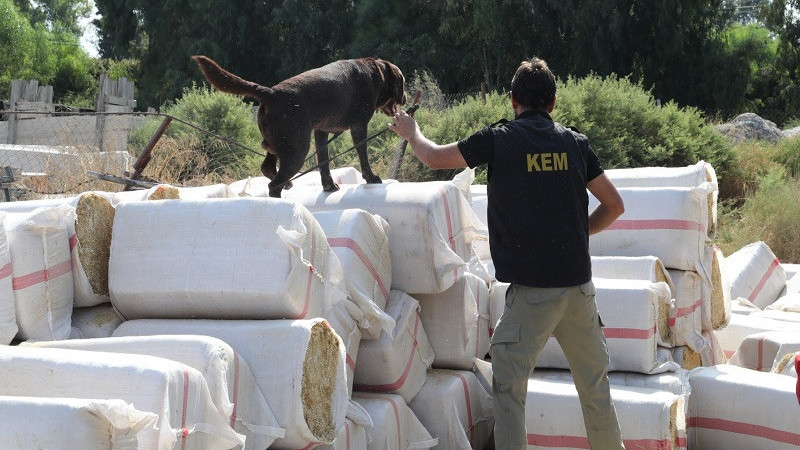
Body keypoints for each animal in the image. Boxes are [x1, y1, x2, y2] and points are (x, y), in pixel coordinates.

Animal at [193, 54, 406, 197]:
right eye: (402, 82)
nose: (405, 98)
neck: (376, 74)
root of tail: (271, 93)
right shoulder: (359, 126)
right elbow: (363, 156)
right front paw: (371, 178)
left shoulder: (321, 131)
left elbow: (324, 161)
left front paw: (329, 186)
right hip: (297, 149)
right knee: (273, 185)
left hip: (279, 144)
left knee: (267, 168)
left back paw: (287, 184)